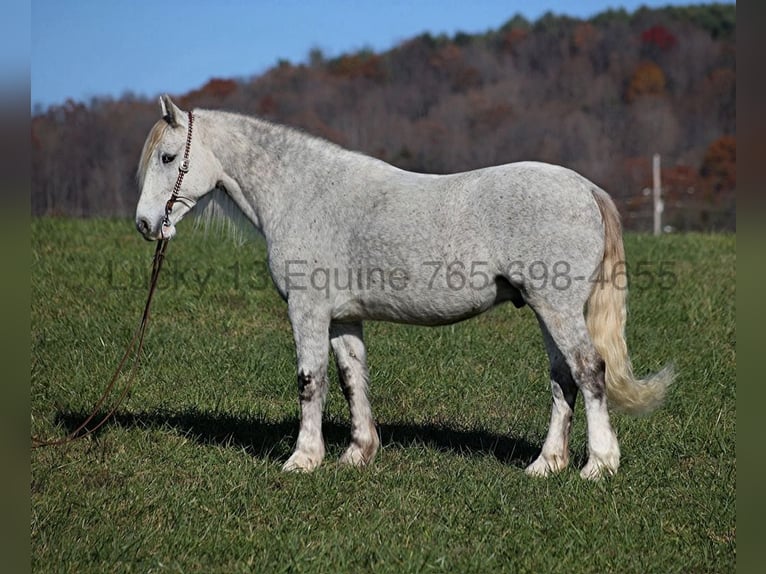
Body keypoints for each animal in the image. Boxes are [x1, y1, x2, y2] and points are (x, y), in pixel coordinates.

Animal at [136, 98, 672, 482]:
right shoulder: (343, 317)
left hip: (558, 308)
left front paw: (303, 459)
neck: (303, 192)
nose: (145, 224)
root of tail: (586, 189)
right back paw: (545, 464)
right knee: (564, 378)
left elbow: (310, 381)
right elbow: (351, 379)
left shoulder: (308, 311)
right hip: (547, 310)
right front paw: (357, 454)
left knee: (590, 370)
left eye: (168, 157)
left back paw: (597, 465)